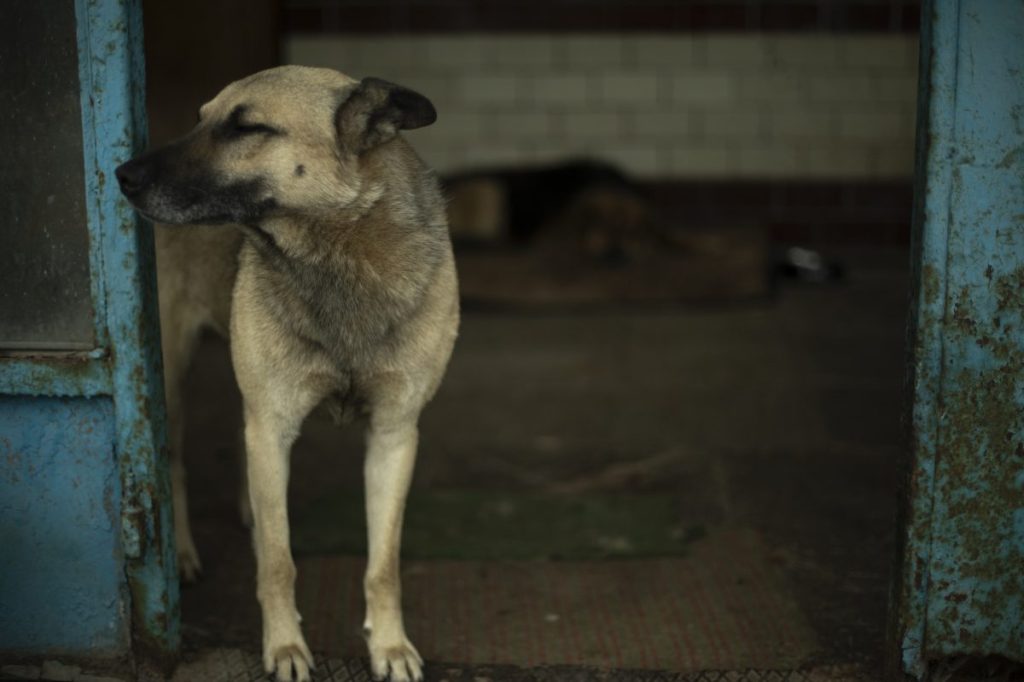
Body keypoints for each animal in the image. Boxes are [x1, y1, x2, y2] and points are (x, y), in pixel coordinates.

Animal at [115, 65, 460, 679]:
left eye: (247, 127)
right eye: (200, 120)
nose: (122, 174)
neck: (341, 256)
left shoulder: (394, 436)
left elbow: (384, 564)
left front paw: (390, 645)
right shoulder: (273, 428)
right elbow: (278, 562)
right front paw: (284, 647)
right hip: (172, 381)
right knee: (174, 461)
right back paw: (182, 552)